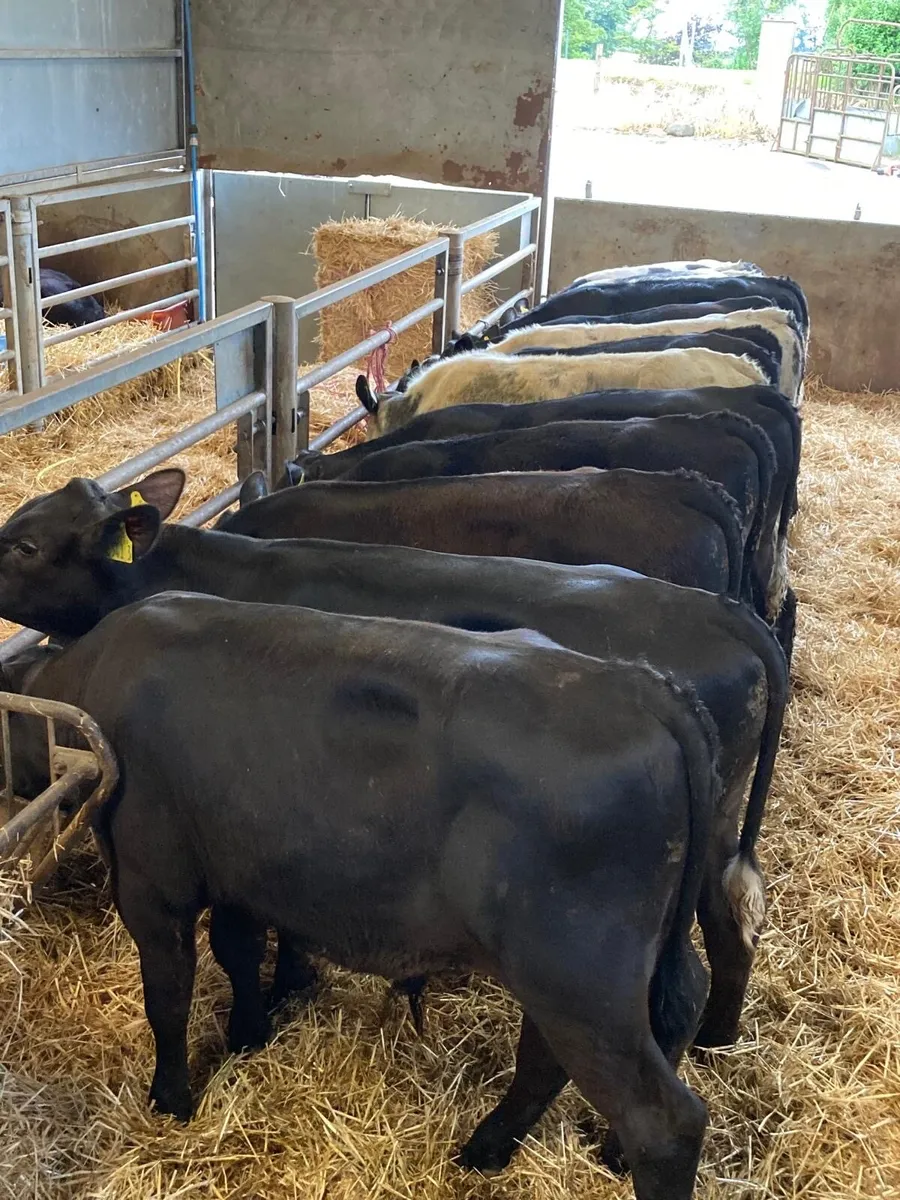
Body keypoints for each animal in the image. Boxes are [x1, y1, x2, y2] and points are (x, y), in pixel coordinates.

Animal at [0, 467, 786, 1051]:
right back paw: (717, 1037)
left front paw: (284, 986)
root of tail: (723, 613)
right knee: (730, 924)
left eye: (26, 545)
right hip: (713, 836)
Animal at [1, 592, 718, 1198]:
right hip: (588, 973)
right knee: (627, 1027)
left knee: (662, 1119)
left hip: (578, 979)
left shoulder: (154, 883)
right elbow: (238, 952)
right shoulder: (238, 870)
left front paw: (170, 1099)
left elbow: (169, 998)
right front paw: (248, 1035)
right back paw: (502, 1150)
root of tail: (636, 684)